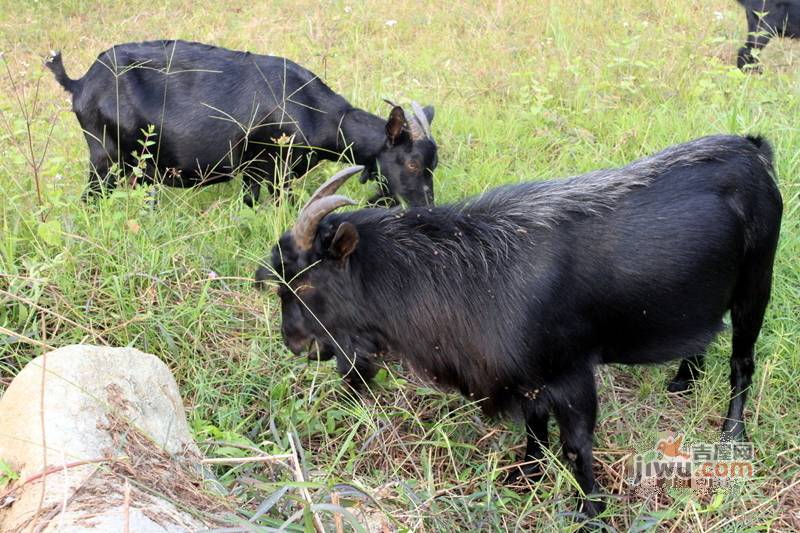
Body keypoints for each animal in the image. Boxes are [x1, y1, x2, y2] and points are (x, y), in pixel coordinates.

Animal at [45, 39, 438, 206]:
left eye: (433, 164)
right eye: (412, 163)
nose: (425, 207)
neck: (317, 113)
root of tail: (80, 82)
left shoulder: (255, 172)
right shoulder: (272, 167)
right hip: (104, 157)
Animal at [256, 135, 780, 516]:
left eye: (305, 282)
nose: (294, 343)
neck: (470, 274)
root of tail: (751, 148)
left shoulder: (571, 372)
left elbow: (575, 446)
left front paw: (591, 511)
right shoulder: (526, 376)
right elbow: (533, 428)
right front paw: (525, 477)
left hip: (756, 284)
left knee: (742, 361)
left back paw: (732, 433)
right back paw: (683, 380)